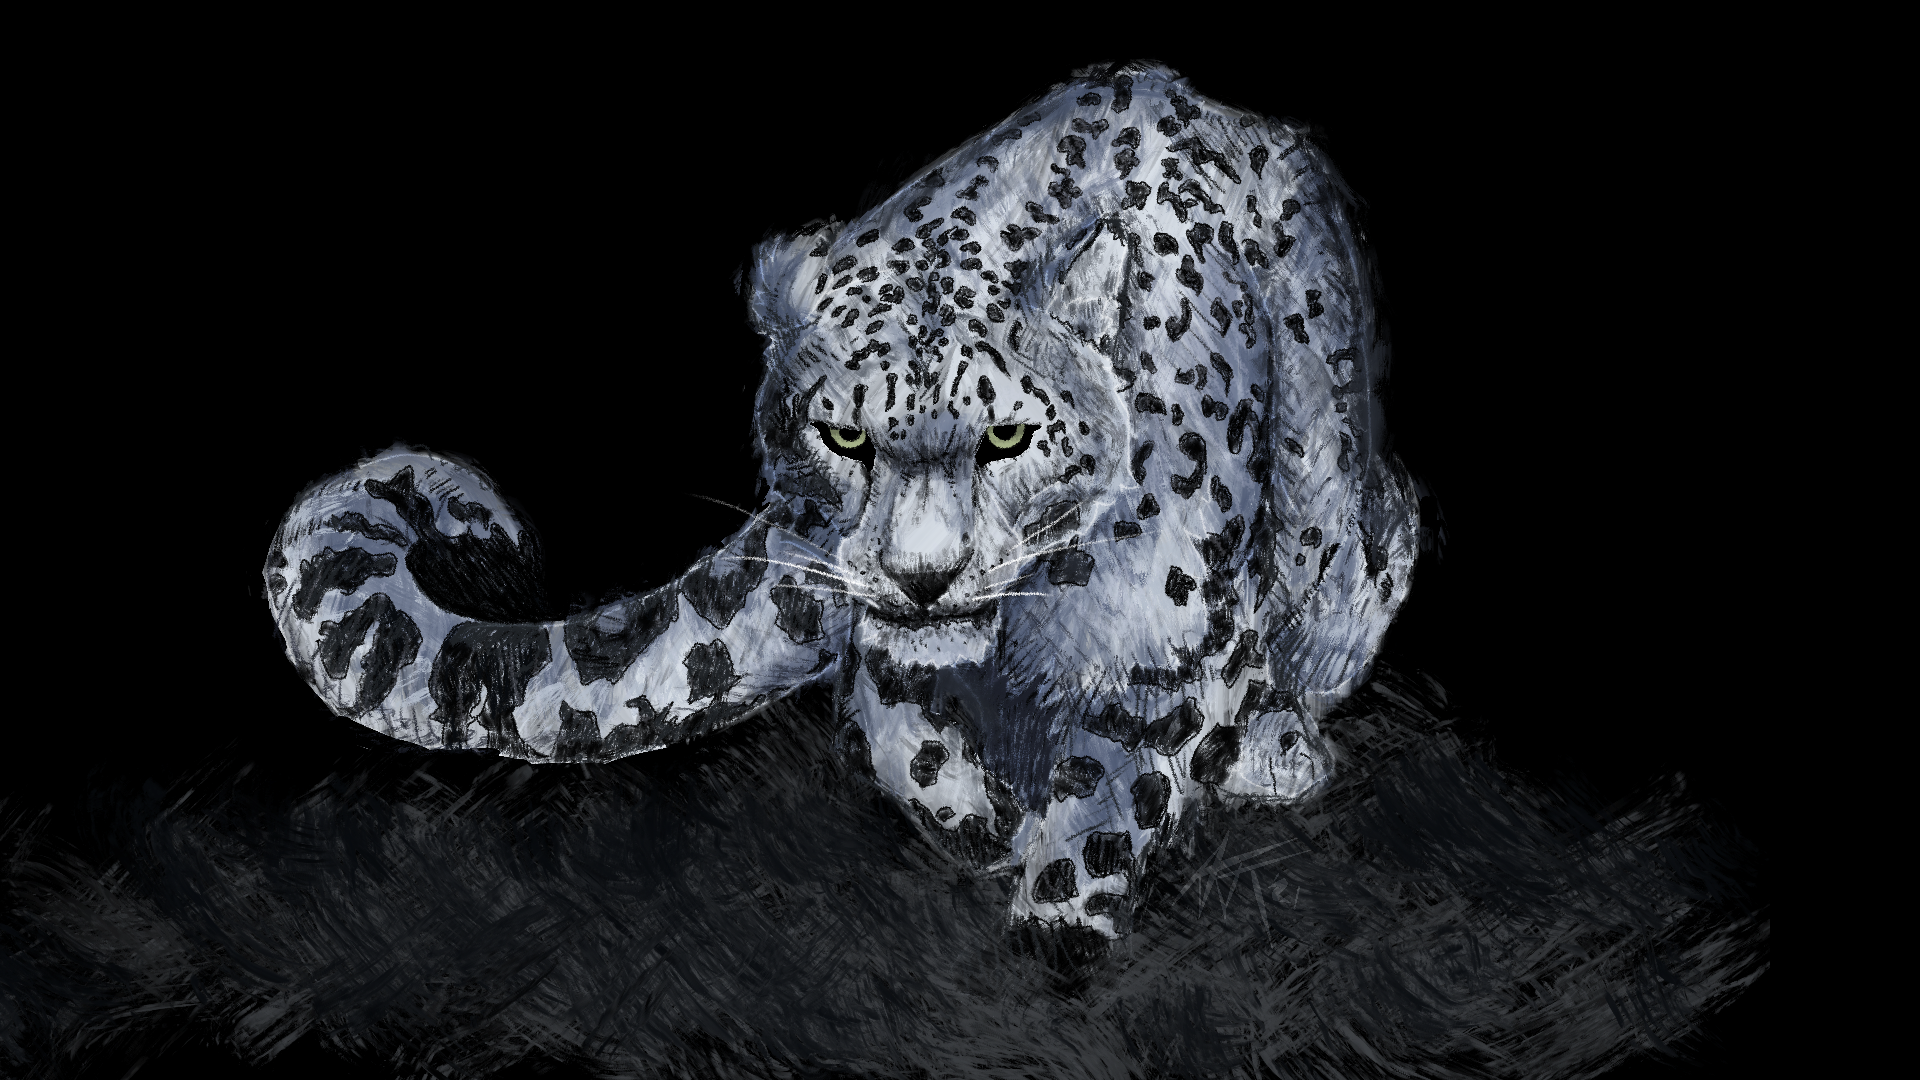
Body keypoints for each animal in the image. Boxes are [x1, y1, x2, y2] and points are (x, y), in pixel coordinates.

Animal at [264, 61, 1423, 938]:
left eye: (1010, 435)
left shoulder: (1154, 654)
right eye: (846, 435)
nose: (922, 577)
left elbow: (1105, 805)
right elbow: (919, 751)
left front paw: (1059, 911)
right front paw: (984, 823)